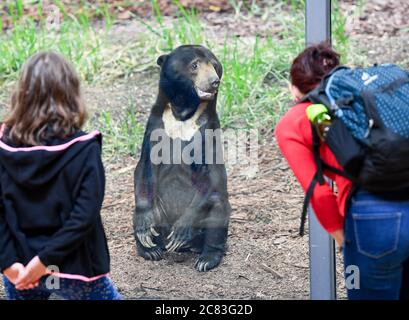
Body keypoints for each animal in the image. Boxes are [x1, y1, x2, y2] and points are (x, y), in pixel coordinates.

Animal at [133, 44, 231, 270]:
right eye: (194, 65)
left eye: (215, 66)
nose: (214, 81)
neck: (183, 114)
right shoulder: (155, 126)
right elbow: (144, 167)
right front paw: (144, 229)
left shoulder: (208, 130)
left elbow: (211, 174)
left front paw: (181, 231)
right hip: (159, 210)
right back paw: (150, 250)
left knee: (218, 208)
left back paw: (205, 258)